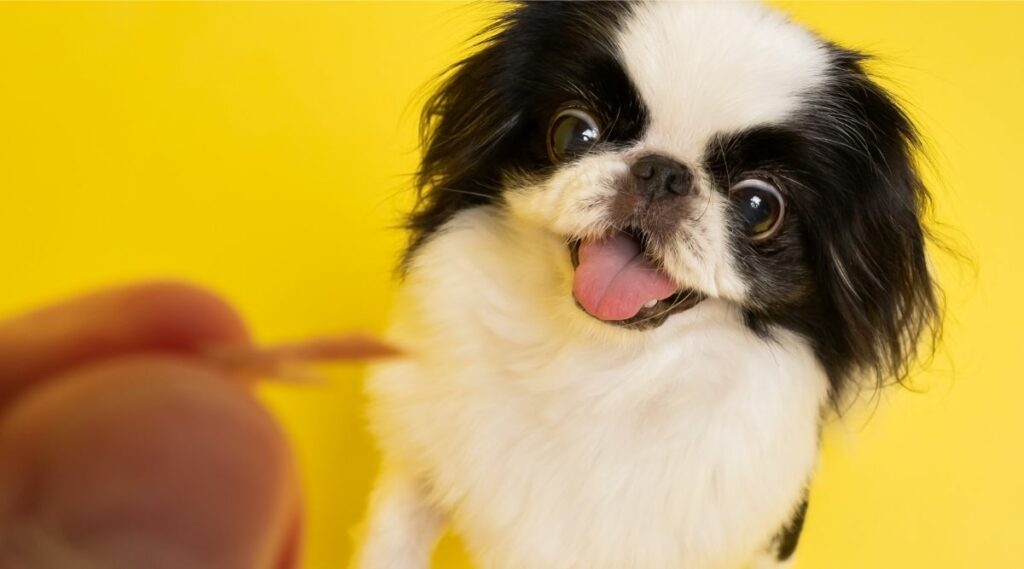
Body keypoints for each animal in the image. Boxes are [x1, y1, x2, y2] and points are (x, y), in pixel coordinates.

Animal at [356, 2, 937, 564]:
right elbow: (390, 548)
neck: (594, 363)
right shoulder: (416, 471)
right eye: (575, 133)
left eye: (759, 207)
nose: (662, 172)